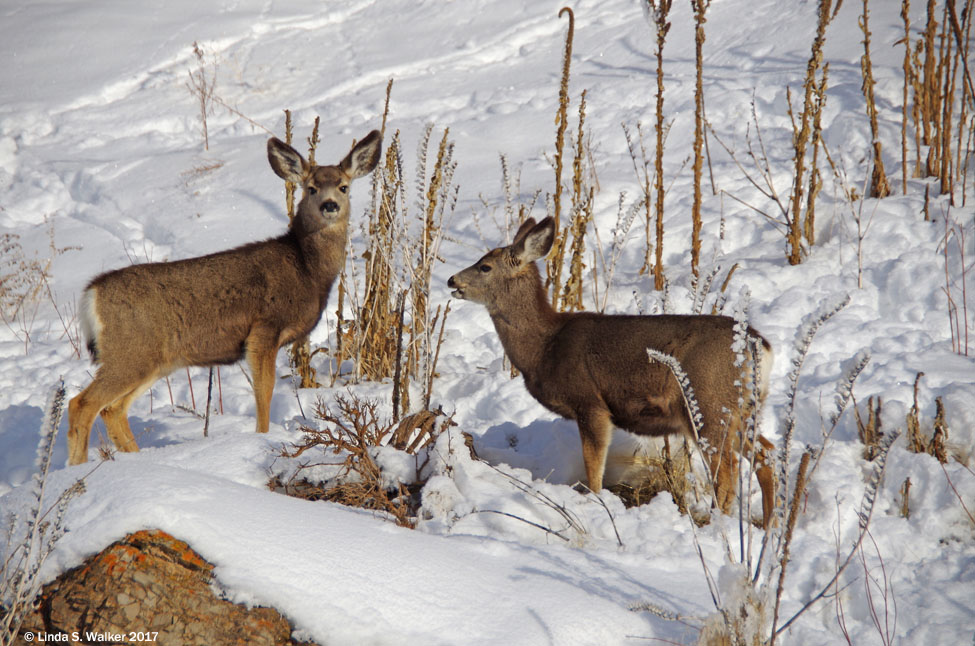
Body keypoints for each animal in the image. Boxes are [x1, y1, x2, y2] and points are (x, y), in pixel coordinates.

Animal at [67, 130, 382, 465]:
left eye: (344, 186)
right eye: (311, 188)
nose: (330, 205)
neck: (305, 268)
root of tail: (91, 294)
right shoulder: (264, 329)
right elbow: (264, 391)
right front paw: (261, 438)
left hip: (152, 360)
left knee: (113, 410)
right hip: (129, 352)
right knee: (82, 404)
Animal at [447, 216, 776, 526]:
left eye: (485, 266)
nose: (451, 280)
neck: (544, 347)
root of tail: (757, 344)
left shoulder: (590, 402)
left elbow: (594, 466)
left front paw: (595, 502)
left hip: (707, 403)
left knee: (727, 473)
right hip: (744, 409)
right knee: (766, 453)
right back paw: (770, 521)